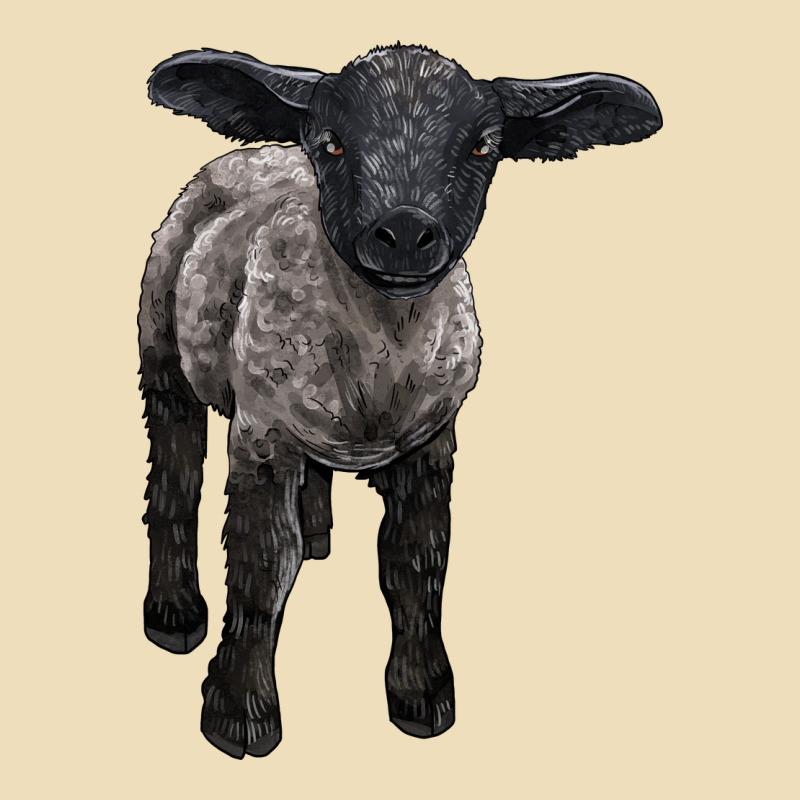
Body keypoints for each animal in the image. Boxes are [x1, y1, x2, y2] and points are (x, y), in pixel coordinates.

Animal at [140, 44, 662, 759]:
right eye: (330, 142)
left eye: (483, 146)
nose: (408, 233)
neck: (379, 355)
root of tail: (258, 153)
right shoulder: (261, 434)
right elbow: (261, 565)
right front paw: (239, 712)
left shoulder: (430, 442)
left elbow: (415, 563)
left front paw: (422, 695)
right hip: (162, 349)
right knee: (175, 470)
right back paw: (173, 613)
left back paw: (318, 533)